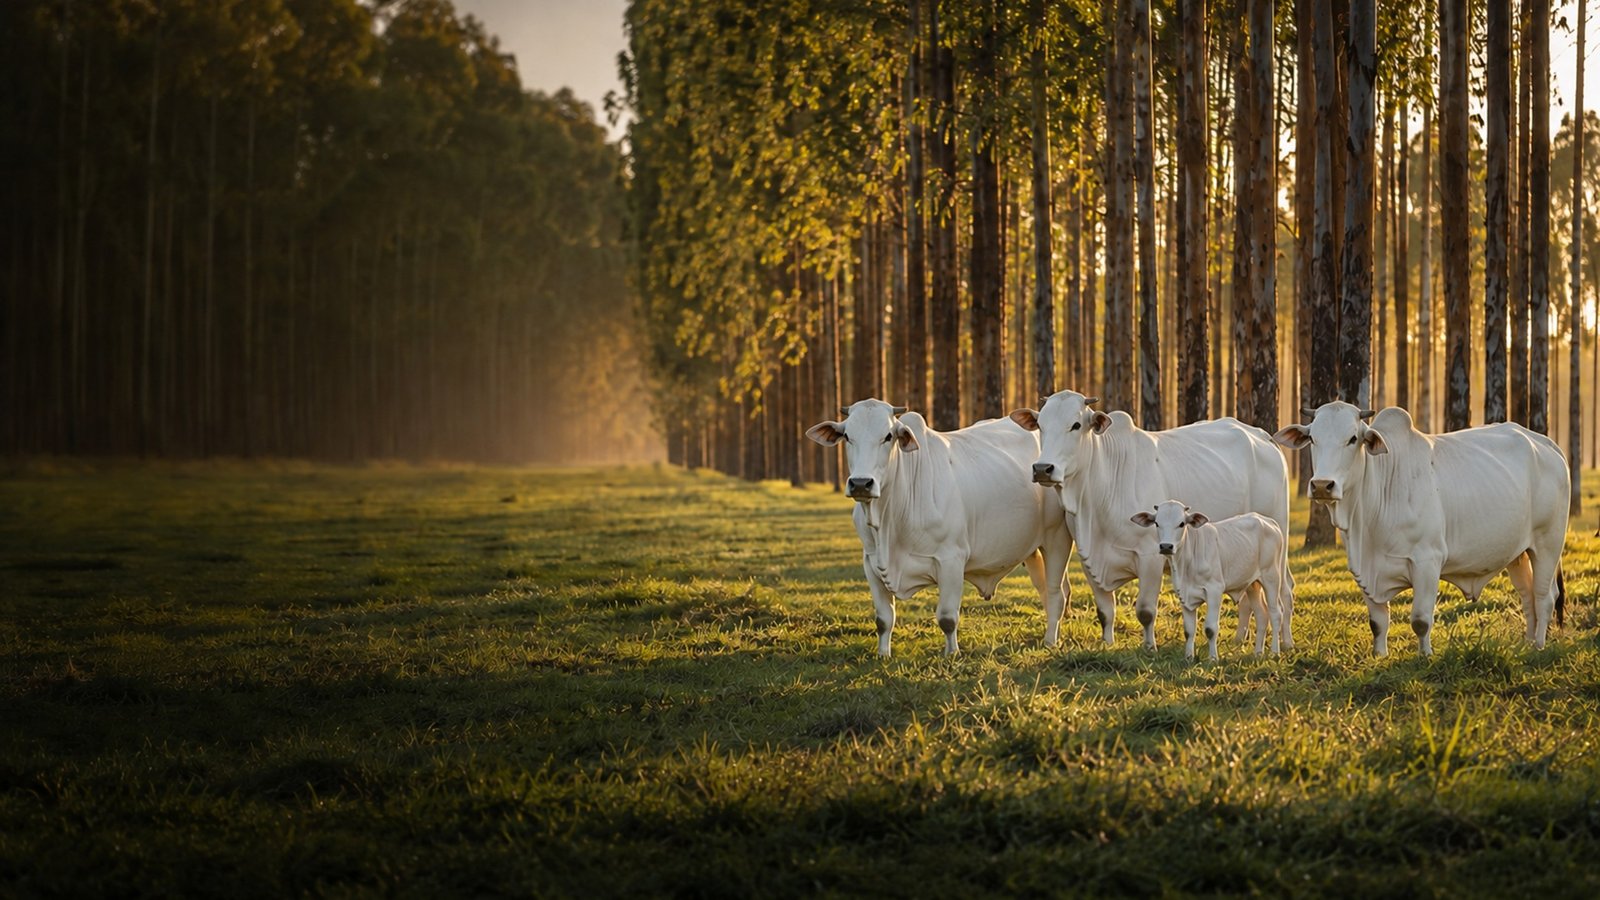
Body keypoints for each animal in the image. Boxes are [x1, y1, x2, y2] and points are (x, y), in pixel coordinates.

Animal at [805, 399, 1074, 656]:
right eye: (847, 436)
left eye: (888, 436)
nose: (861, 483)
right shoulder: (870, 563)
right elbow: (883, 620)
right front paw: (883, 654)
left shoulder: (951, 560)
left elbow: (947, 617)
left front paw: (952, 653)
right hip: (1032, 548)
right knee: (1047, 589)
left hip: (1056, 539)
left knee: (1055, 593)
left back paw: (1050, 641)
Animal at [1130, 501, 1290, 660]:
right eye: (1157, 523)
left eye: (1181, 523)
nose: (1166, 546)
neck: (1187, 562)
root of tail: (1268, 521)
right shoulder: (1183, 595)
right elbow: (1189, 630)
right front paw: (1188, 657)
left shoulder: (1215, 591)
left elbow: (1211, 629)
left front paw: (1213, 658)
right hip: (1253, 584)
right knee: (1262, 615)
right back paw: (1258, 653)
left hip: (1272, 577)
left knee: (1276, 613)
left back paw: (1275, 652)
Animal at [1272, 402, 1569, 656]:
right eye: (1313, 439)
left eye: (1353, 439)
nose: (1322, 485)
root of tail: (1547, 444)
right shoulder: (1364, 570)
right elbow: (1377, 622)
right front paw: (1379, 655)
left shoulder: (1428, 561)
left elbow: (1420, 620)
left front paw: (1425, 655)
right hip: (1518, 553)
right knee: (1528, 597)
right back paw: (1527, 644)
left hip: (1547, 545)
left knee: (1544, 596)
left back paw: (1539, 645)